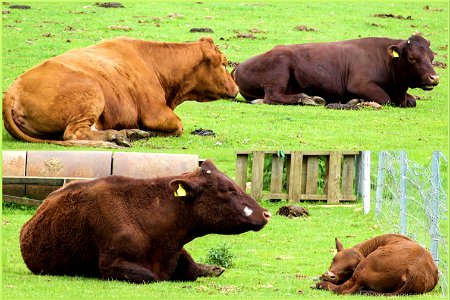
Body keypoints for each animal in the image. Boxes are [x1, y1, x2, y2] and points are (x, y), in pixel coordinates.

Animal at [2, 37, 239, 147]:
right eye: (224, 63)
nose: (236, 89)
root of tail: (13, 89)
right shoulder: (157, 113)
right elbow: (177, 127)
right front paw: (143, 133)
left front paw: (138, 132)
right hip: (92, 93)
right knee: (74, 133)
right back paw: (118, 135)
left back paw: (127, 133)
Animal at [232, 34, 440, 107]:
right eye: (412, 58)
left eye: (432, 56)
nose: (434, 77)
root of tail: (239, 66)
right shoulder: (360, 85)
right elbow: (385, 99)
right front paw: (357, 101)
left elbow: (412, 101)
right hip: (279, 69)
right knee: (272, 96)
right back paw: (308, 99)